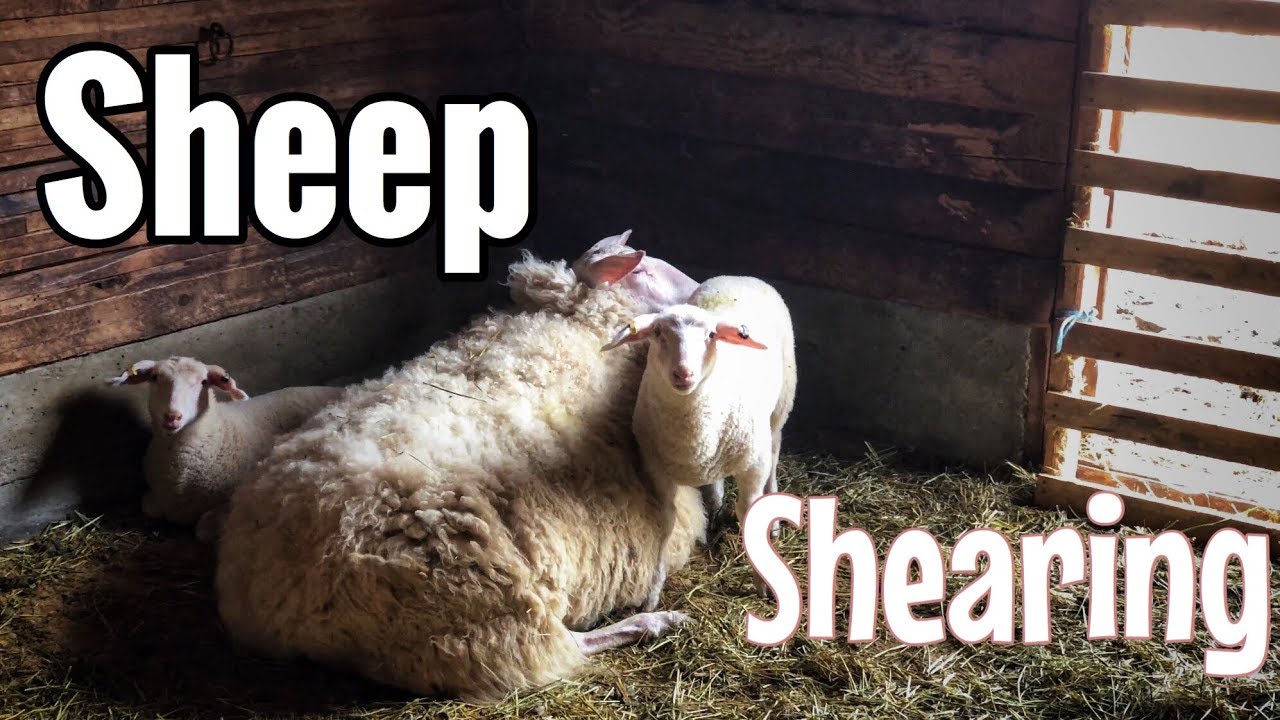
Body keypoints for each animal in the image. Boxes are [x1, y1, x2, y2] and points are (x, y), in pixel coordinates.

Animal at [108, 356, 345, 540]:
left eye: (203, 382)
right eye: (155, 378)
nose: (172, 416)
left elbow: (202, 529)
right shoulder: (154, 498)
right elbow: (148, 507)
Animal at [213, 251, 709, 702]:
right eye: (644, 271)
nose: (702, 289)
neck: (573, 321)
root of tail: (272, 599)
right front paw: (654, 604)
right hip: (478, 596)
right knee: (549, 649)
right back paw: (654, 623)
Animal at [602, 275, 796, 596]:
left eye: (712, 335)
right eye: (658, 333)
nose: (684, 374)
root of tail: (739, 276)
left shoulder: (753, 465)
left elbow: (749, 511)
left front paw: (763, 583)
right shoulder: (657, 471)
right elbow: (666, 523)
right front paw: (653, 591)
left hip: (780, 406)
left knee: (775, 449)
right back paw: (715, 502)